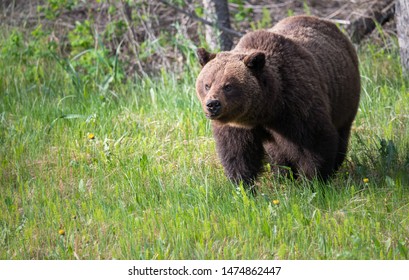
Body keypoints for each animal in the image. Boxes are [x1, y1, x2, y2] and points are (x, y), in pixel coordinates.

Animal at [196, 14, 358, 186]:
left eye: (228, 86)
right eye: (207, 84)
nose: (212, 104)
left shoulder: (296, 106)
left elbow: (313, 142)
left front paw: (313, 180)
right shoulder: (236, 125)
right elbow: (237, 152)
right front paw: (242, 183)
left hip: (344, 100)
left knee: (341, 134)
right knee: (277, 152)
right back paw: (282, 174)